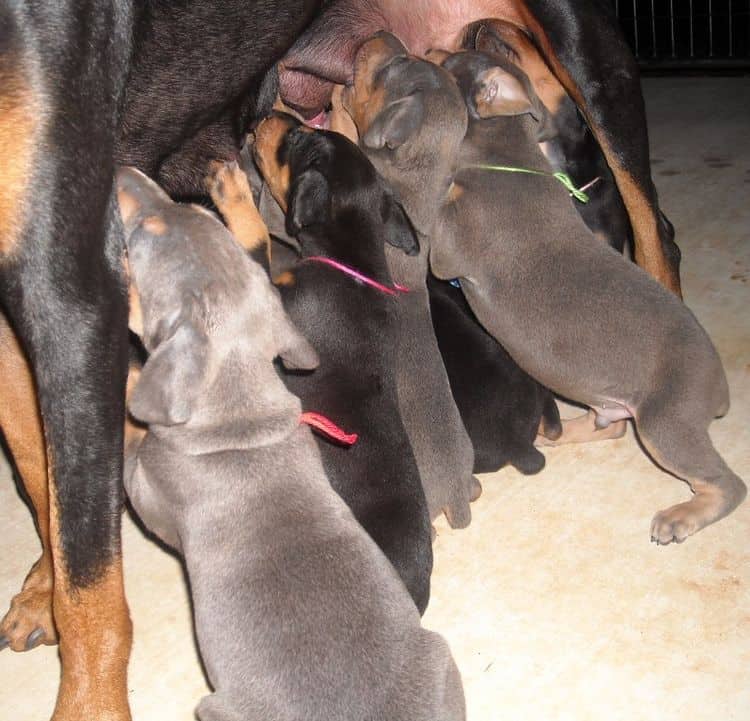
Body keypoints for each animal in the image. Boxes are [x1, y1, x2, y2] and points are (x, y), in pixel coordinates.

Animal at [346, 36, 748, 544]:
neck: (506, 154)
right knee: (612, 428)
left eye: (443, 59)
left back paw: (682, 516)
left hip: (666, 424)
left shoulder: (447, 247)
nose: (424, 45)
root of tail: (720, 389)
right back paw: (557, 431)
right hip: (614, 404)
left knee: (727, 485)